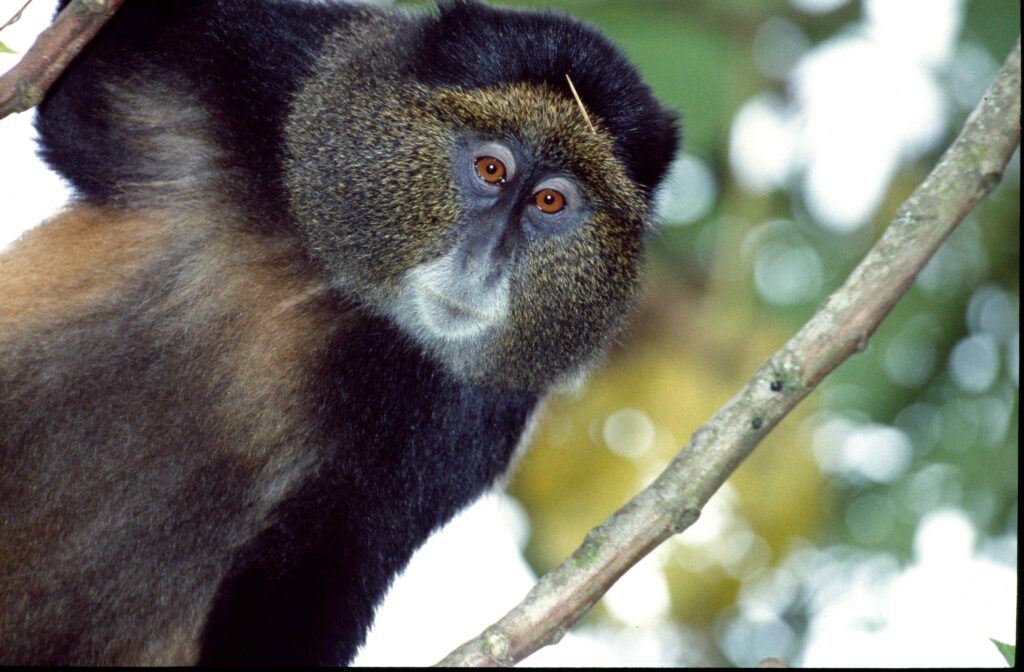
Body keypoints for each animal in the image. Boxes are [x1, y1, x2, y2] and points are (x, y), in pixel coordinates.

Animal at [0, 0, 678, 665]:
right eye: (491, 168)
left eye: (550, 203)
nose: (485, 261)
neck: (351, 296)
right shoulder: (269, 70)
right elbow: (72, 107)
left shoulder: (473, 415)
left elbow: (335, 551)